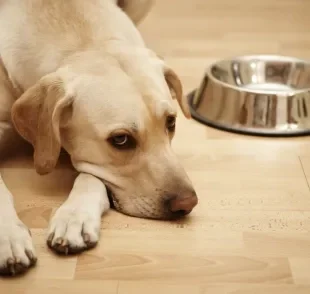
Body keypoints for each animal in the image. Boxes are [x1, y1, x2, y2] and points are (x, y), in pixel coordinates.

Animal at [0, 0, 197, 276]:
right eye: (121, 140)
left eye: (171, 122)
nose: (188, 203)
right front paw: (9, 237)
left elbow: (91, 178)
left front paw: (75, 217)